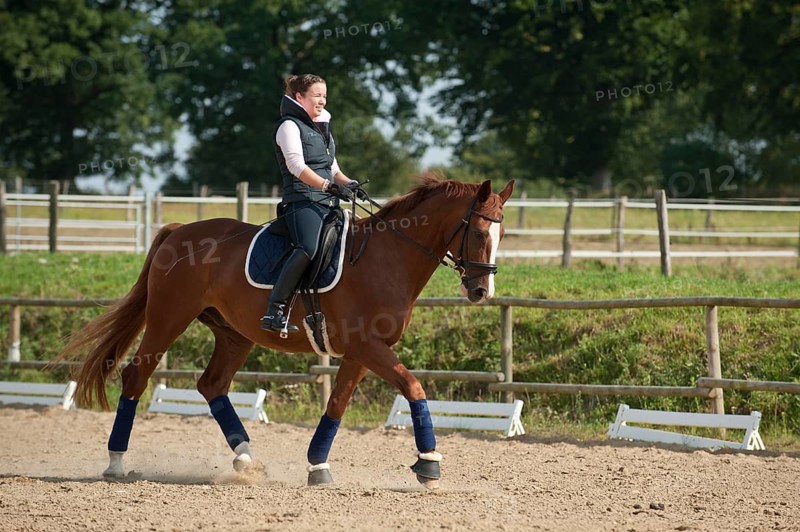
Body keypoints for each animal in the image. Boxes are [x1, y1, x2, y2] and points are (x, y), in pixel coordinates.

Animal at [55, 173, 515, 489]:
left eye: (502, 232)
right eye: (478, 231)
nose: (481, 291)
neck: (388, 258)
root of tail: (177, 232)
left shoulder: (361, 351)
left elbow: (338, 404)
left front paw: (318, 466)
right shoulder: (368, 345)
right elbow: (414, 387)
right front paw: (429, 463)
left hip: (234, 334)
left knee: (212, 384)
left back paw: (245, 459)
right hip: (169, 318)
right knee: (137, 376)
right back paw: (116, 463)